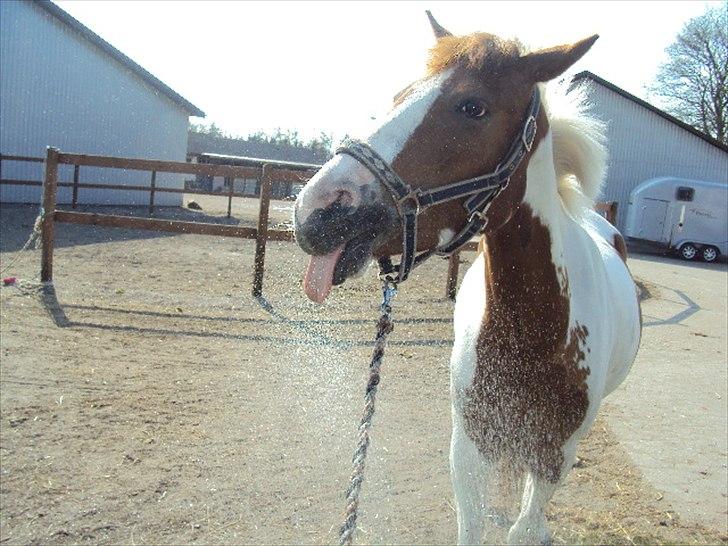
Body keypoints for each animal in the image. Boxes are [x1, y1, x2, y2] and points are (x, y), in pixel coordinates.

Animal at [292, 13, 640, 544]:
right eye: (400, 94)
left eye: (472, 106)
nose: (317, 210)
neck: (534, 329)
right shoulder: (469, 445)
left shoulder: (555, 453)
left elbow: (523, 525)